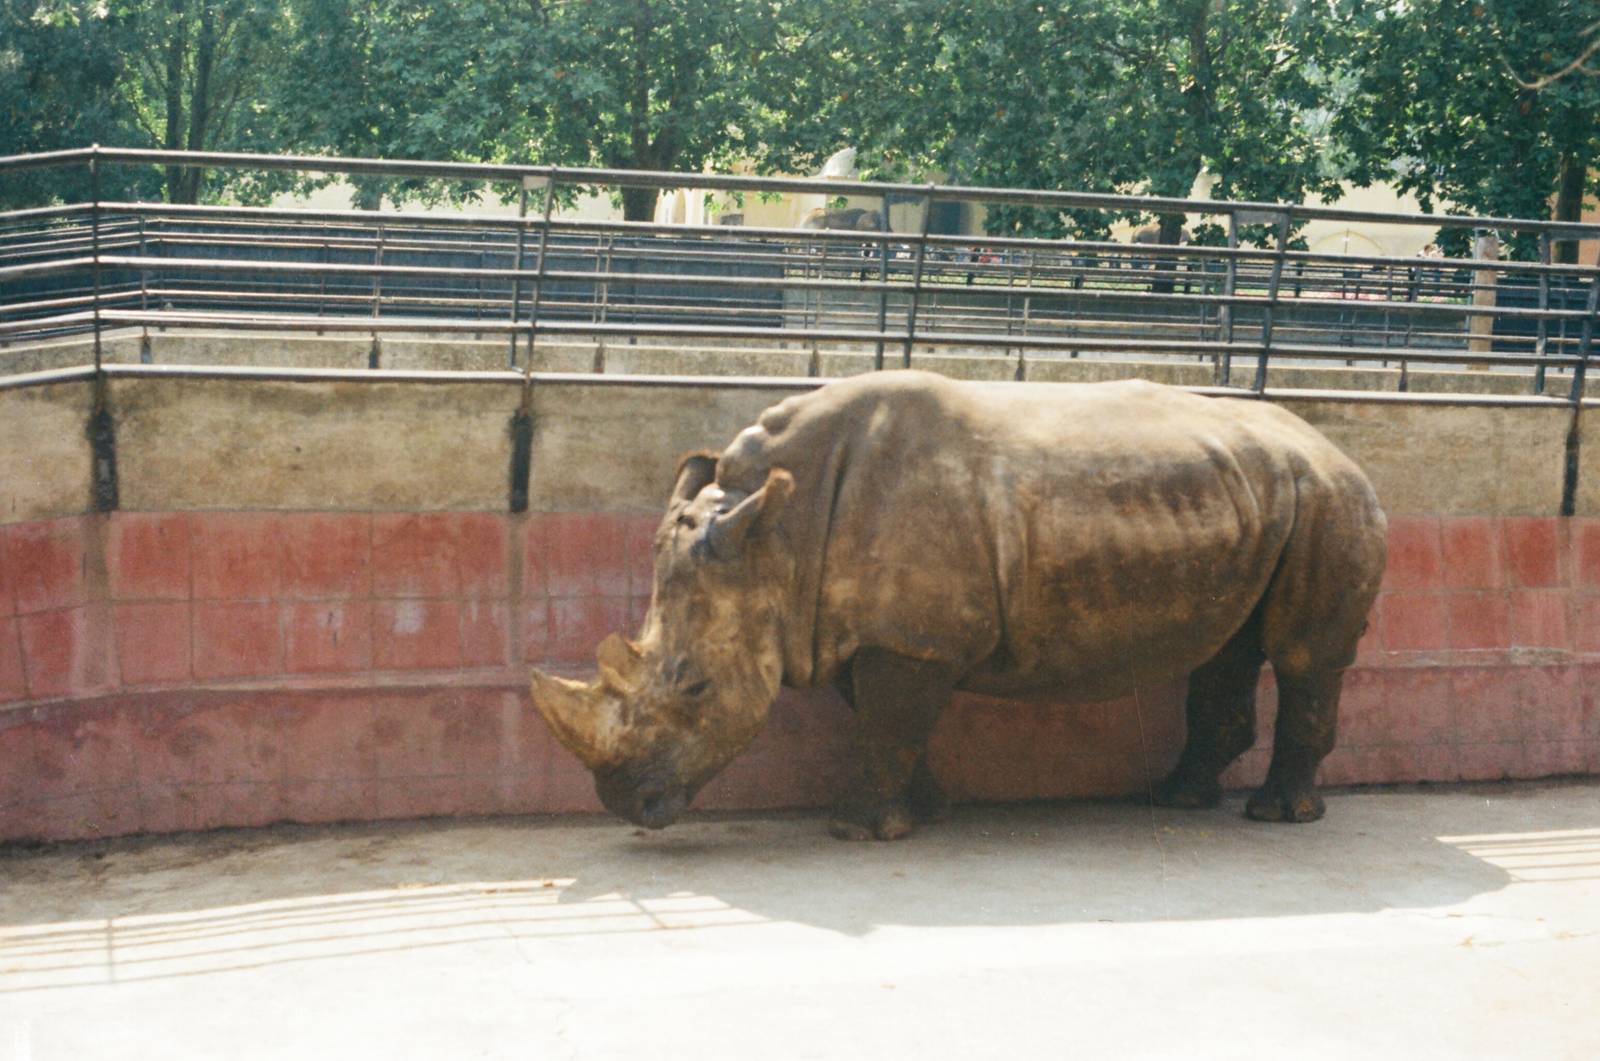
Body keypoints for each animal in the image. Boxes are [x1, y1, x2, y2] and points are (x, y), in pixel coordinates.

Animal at [531, 371, 1387, 840]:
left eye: (698, 688)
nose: (624, 804)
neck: (775, 533)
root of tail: (1340, 449)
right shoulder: (877, 631)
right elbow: (885, 722)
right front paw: (926, 810)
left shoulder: (911, 640)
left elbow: (887, 723)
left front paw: (856, 830)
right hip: (1261, 496)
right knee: (1229, 645)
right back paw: (1177, 797)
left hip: (1329, 500)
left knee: (1305, 656)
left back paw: (1277, 817)